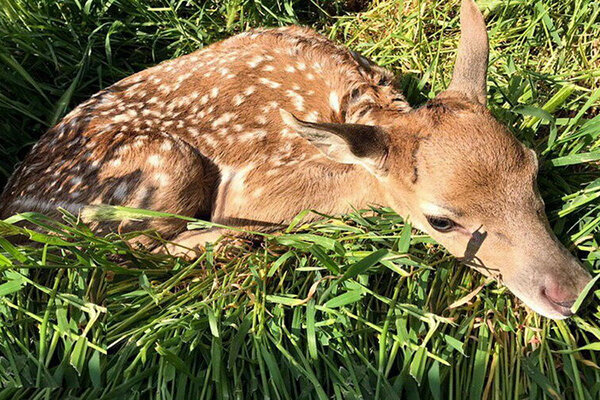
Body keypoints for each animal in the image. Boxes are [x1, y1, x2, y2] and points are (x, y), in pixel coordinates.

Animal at [0, 0, 592, 318]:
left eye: (534, 168)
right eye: (440, 220)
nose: (573, 290)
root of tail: (12, 210)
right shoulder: (255, 185)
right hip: (163, 167)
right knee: (132, 250)